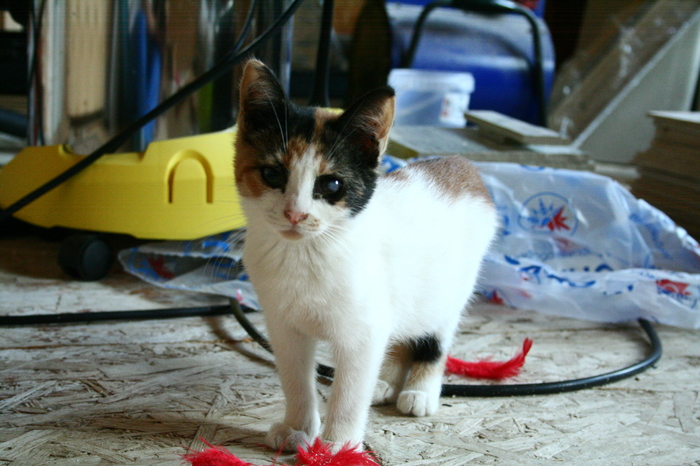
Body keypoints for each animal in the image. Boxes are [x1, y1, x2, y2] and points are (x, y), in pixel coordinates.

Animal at [234, 59, 498, 451]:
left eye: (332, 184)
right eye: (272, 174)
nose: (295, 214)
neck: (307, 253)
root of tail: (462, 165)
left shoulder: (362, 333)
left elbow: (349, 390)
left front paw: (337, 444)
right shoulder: (284, 327)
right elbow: (296, 379)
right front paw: (296, 428)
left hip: (451, 289)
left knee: (435, 335)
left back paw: (420, 390)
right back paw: (386, 381)